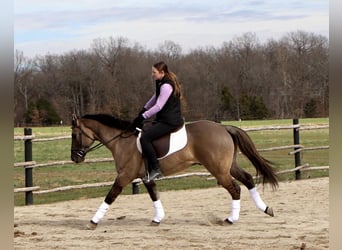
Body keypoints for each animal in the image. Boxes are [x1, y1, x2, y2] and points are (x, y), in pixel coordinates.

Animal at [69, 114, 278, 229]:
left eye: (74, 134)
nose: (75, 158)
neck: (122, 141)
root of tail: (223, 127)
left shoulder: (124, 176)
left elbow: (110, 196)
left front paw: (92, 222)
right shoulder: (145, 177)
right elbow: (154, 195)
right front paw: (157, 219)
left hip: (219, 170)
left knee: (235, 189)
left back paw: (231, 219)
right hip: (228, 167)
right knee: (248, 179)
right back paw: (265, 209)